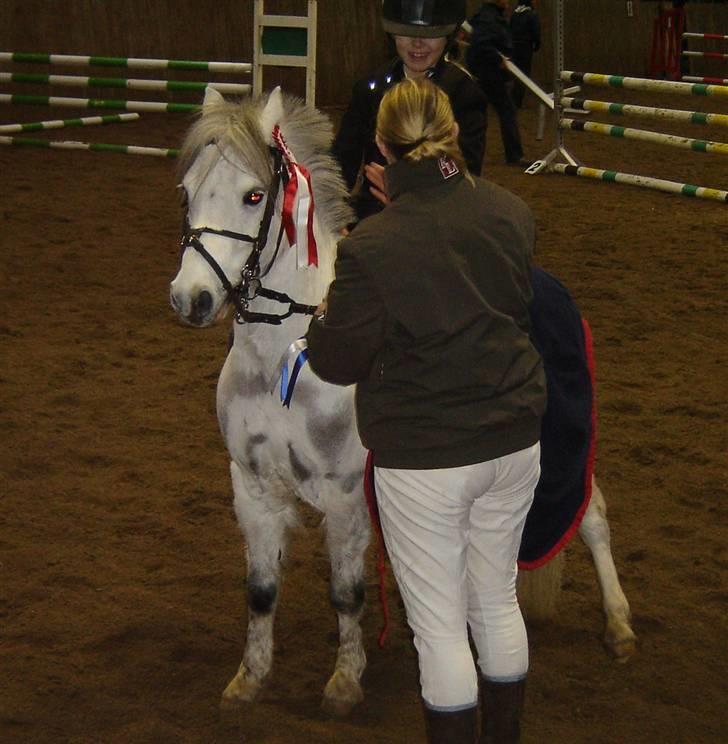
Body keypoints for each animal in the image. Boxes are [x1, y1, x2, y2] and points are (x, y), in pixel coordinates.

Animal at [171, 85, 636, 716]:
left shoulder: (345, 494)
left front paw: (344, 682)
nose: (190, 298)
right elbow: (261, 592)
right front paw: (249, 679)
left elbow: (346, 593)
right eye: (188, 191)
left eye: (254, 196)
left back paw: (619, 624)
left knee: (592, 516)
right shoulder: (253, 486)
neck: (283, 359)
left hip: (563, 450)